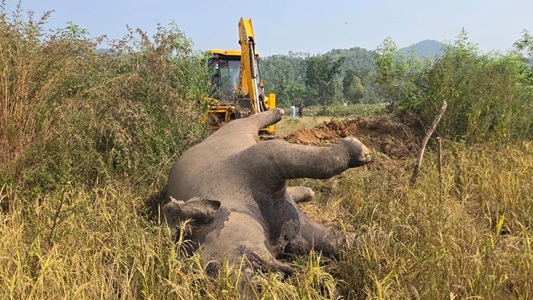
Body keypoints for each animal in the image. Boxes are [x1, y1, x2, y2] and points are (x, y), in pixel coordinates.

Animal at [162, 108, 370, 276]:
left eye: (212, 267)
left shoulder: (261, 157)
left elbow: (312, 161)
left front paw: (361, 151)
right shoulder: (298, 229)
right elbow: (332, 240)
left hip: (235, 127)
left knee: (248, 119)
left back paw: (280, 112)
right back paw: (310, 192)